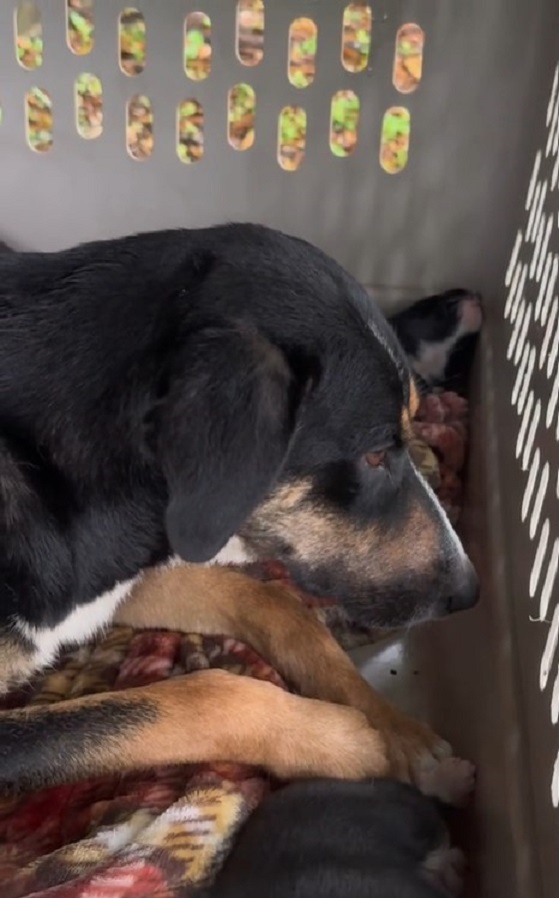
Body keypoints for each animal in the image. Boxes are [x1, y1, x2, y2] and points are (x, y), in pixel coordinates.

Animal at [1, 224, 482, 792]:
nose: (471, 591)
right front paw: (347, 740)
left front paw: (401, 733)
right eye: (374, 453)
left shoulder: (120, 575)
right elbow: (197, 696)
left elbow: (279, 606)